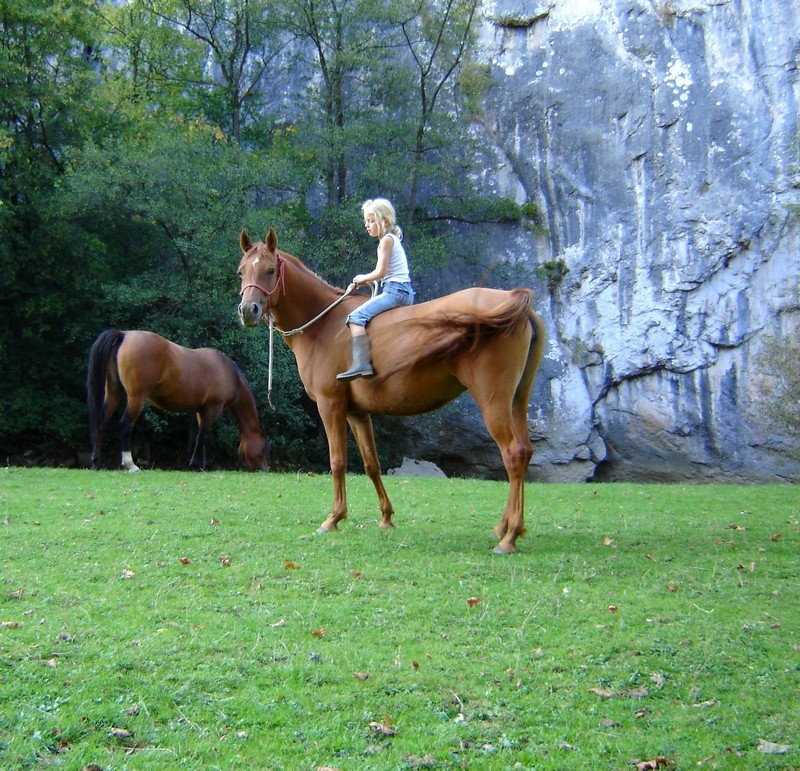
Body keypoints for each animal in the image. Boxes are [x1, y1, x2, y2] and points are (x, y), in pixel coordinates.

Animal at [88, 330, 268, 474]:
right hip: (136, 398)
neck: (228, 373)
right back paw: (130, 464)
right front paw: (197, 465)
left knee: (100, 422)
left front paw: (205, 465)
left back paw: (96, 462)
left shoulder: (202, 411)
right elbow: (203, 436)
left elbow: (205, 437)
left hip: (114, 392)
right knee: (126, 424)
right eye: (265, 447)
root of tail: (125, 335)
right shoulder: (212, 408)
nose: (266, 469)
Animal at [236, 229, 544, 556]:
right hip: (517, 401)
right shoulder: (357, 413)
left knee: (512, 454)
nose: (248, 310)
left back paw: (509, 537)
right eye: (242, 271)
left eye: (270, 270)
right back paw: (506, 527)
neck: (326, 326)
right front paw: (385, 517)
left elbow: (337, 461)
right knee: (525, 451)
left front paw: (333, 519)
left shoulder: (330, 406)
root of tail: (514, 303)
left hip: (493, 401)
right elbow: (372, 463)